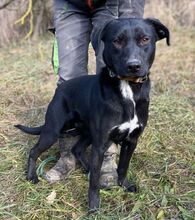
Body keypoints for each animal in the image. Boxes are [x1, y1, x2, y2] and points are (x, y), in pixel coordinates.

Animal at [16, 18, 170, 211]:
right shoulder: (100, 145)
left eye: (145, 39)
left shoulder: (131, 141)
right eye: (117, 41)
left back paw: (87, 168)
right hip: (52, 131)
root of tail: (60, 88)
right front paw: (94, 207)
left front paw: (124, 184)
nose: (133, 66)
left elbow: (123, 166)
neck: (128, 88)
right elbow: (95, 182)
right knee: (34, 150)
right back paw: (31, 176)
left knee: (77, 149)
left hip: (87, 133)